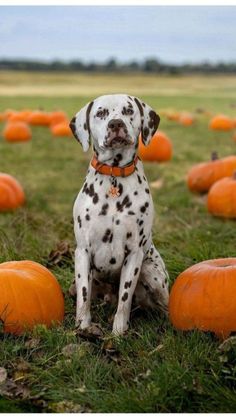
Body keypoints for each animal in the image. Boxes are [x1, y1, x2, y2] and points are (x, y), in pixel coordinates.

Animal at [69, 94, 169, 334]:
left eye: (128, 110)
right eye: (101, 113)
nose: (116, 124)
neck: (114, 175)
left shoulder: (134, 254)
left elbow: (124, 300)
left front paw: (118, 333)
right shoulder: (83, 252)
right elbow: (84, 297)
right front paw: (83, 328)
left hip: (152, 274)